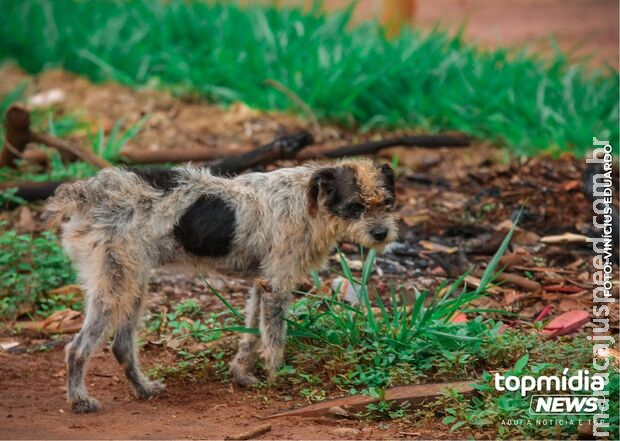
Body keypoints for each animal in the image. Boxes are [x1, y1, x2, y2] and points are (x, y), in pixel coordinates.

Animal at [46, 159, 400, 412]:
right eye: (355, 207)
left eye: (387, 203)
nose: (382, 234)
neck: (309, 202)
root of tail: (87, 192)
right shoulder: (276, 285)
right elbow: (274, 340)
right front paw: (279, 380)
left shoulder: (261, 284)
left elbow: (252, 336)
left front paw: (242, 375)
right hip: (115, 286)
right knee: (77, 348)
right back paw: (79, 401)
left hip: (131, 283)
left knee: (121, 346)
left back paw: (143, 389)